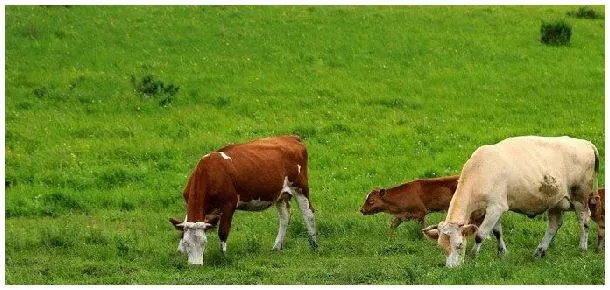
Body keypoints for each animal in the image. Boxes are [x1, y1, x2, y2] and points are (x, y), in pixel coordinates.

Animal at [167, 136, 316, 266]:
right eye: (186, 243)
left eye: (204, 243)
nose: (195, 265)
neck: (208, 173)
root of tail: (291, 137)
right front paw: (180, 251)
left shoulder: (228, 205)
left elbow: (223, 231)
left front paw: (223, 256)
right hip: (280, 194)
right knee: (285, 216)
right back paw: (277, 246)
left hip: (300, 188)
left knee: (308, 214)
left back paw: (314, 245)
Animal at [420, 136, 596, 268]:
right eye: (441, 247)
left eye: (459, 245)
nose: (452, 268)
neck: (481, 170)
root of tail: (586, 143)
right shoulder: (493, 209)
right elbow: (497, 231)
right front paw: (502, 253)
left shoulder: (496, 207)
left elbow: (480, 235)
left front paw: (473, 255)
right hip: (556, 201)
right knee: (554, 225)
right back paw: (539, 251)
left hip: (579, 196)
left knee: (584, 220)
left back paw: (582, 248)